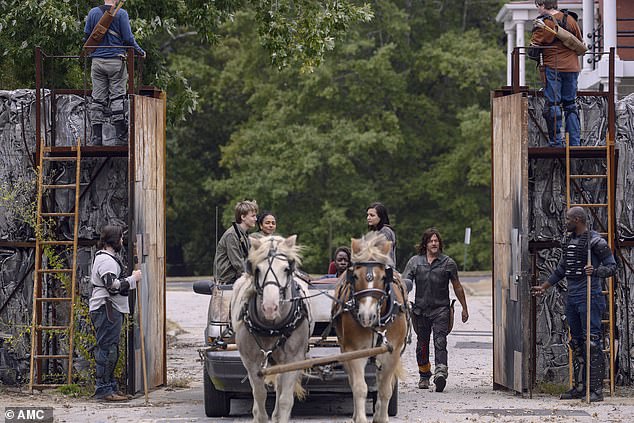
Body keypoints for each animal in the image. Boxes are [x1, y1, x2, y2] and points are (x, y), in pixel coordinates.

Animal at [231, 235, 312, 423]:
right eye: (257, 269)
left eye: (286, 269)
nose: (270, 308)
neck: (271, 327)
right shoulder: (252, 362)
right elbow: (260, 395)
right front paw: (259, 416)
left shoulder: (294, 359)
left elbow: (285, 399)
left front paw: (280, 415)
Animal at [330, 234, 410, 422]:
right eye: (355, 276)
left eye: (383, 277)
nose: (367, 316)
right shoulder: (354, 351)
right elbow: (360, 387)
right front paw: (359, 418)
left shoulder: (392, 352)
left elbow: (385, 389)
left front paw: (381, 417)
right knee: (353, 381)